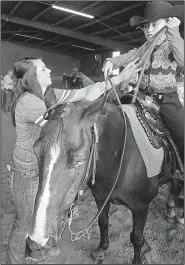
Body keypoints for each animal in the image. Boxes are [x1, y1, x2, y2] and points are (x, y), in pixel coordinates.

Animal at [29, 96, 183, 262]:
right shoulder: (101, 197)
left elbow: (137, 238)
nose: (37, 242)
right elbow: (103, 222)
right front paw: (101, 249)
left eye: (79, 161)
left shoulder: (141, 207)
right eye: (36, 151)